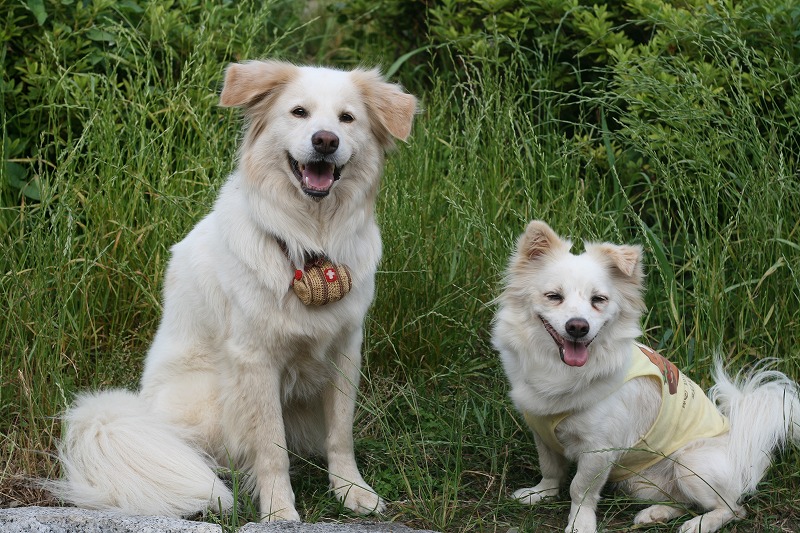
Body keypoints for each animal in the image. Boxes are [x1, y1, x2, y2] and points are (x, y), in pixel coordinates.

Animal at [51, 59, 418, 520]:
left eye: (347, 118)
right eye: (299, 112)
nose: (325, 140)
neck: (309, 241)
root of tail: (141, 411)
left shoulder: (345, 349)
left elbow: (340, 433)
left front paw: (352, 490)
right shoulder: (255, 361)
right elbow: (271, 448)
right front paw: (279, 512)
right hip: (212, 397)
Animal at [494, 219, 800, 532]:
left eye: (598, 300)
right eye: (554, 297)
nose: (578, 326)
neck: (561, 371)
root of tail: (743, 453)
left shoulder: (598, 451)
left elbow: (580, 489)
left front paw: (580, 523)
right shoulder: (542, 433)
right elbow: (551, 470)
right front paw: (541, 494)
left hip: (689, 464)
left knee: (732, 508)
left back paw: (699, 524)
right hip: (643, 484)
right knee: (683, 501)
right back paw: (656, 513)